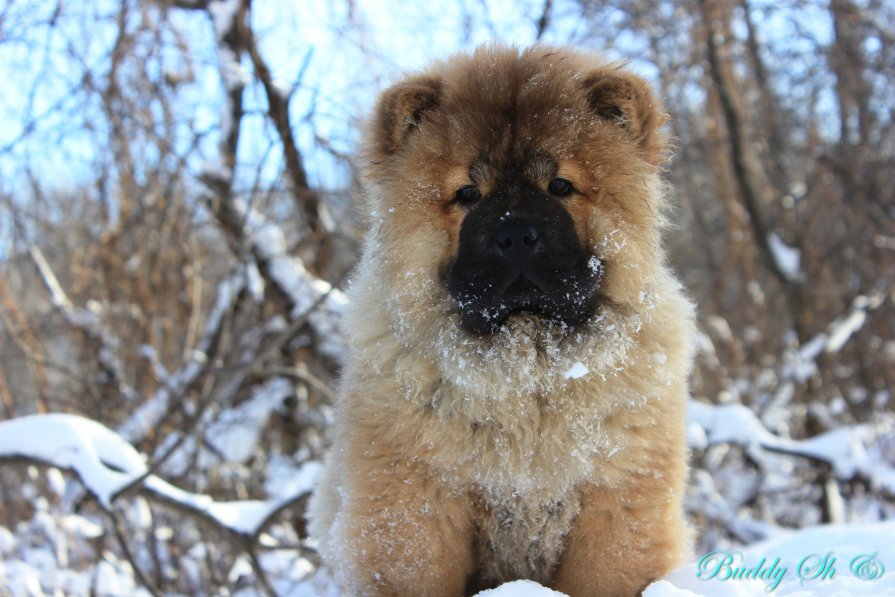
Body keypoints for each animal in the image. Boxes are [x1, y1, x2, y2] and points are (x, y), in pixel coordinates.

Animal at [310, 44, 700, 592]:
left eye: (560, 186)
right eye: (468, 194)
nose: (515, 235)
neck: (527, 377)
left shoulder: (618, 501)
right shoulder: (413, 504)